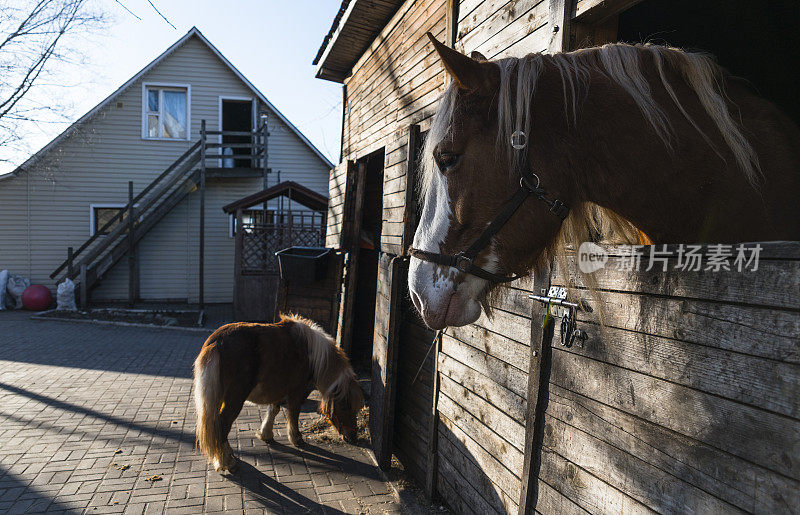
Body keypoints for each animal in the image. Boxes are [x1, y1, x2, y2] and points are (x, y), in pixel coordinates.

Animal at [195, 312, 364, 474]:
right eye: (345, 406)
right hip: (235, 399)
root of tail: (217, 341)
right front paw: (296, 438)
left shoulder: (279, 388)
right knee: (222, 424)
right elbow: (293, 414)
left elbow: (273, 409)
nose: (353, 437)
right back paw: (227, 462)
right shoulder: (296, 391)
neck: (310, 353)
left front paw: (266, 434)